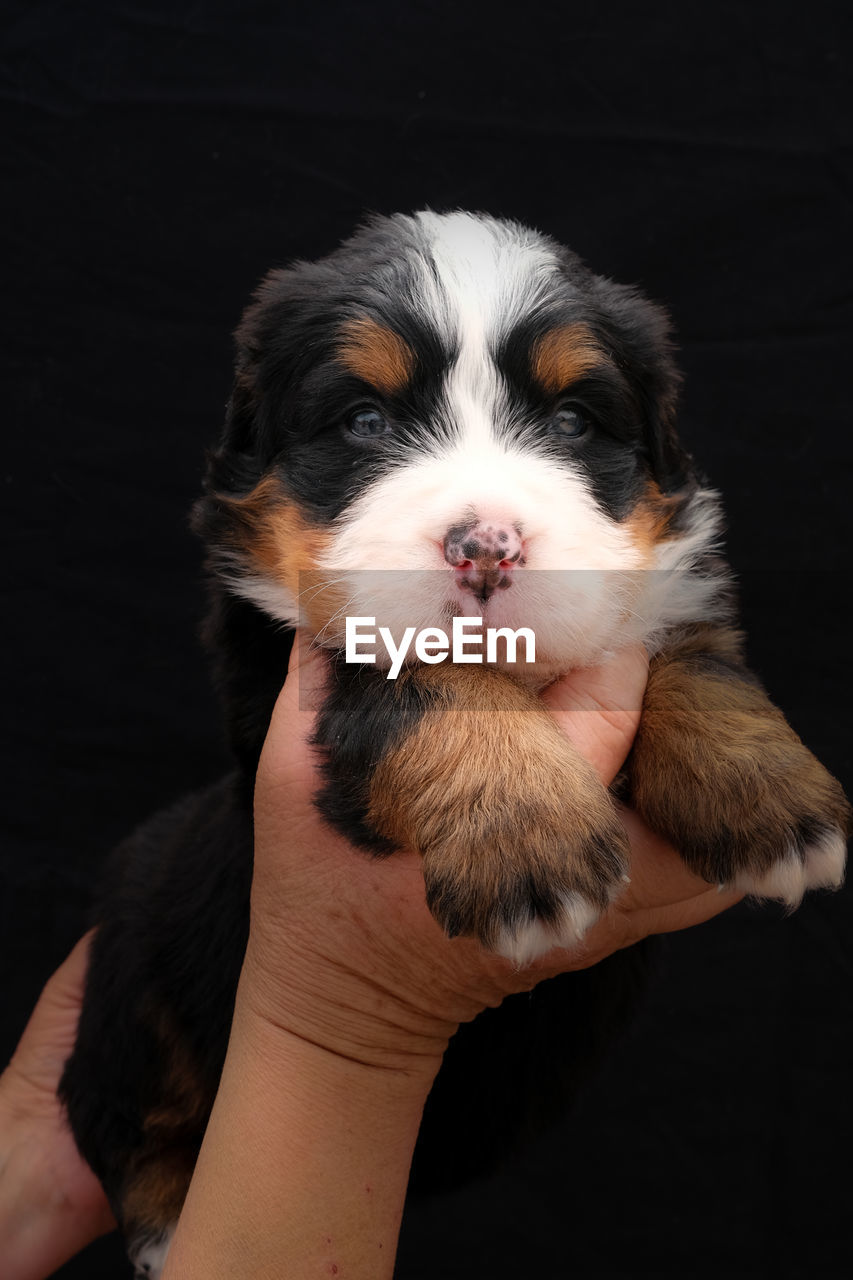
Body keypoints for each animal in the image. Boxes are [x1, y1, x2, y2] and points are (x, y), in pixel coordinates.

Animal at [58, 215, 845, 1274]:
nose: (486, 546)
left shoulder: (654, 601)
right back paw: (165, 1226)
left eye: (570, 423)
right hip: (137, 944)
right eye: (363, 422)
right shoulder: (291, 667)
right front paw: (523, 841)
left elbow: (684, 657)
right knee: (112, 1109)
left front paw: (767, 799)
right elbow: (432, 682)